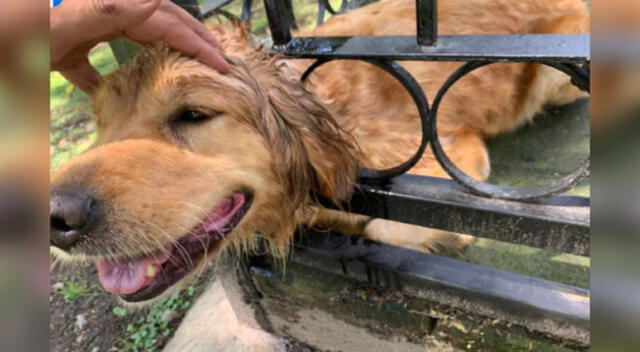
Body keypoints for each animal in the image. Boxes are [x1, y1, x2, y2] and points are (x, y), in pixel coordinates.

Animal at [51, 0, 592, 302]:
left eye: (194, 114)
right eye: (101, 125)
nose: (56, 217)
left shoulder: (453, 153)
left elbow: (383, 224)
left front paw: (444, 239)